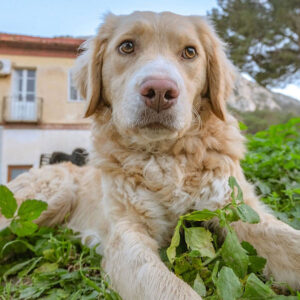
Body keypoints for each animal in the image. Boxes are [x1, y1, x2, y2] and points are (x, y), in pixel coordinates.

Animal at [2, 10, 300, 298]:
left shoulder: (236, 208)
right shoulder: (127, 234)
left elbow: (290, 242)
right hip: (49, 198)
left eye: (189, 52)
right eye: (127, 46)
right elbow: (169, 288)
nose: (159, 91)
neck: (166, 156)